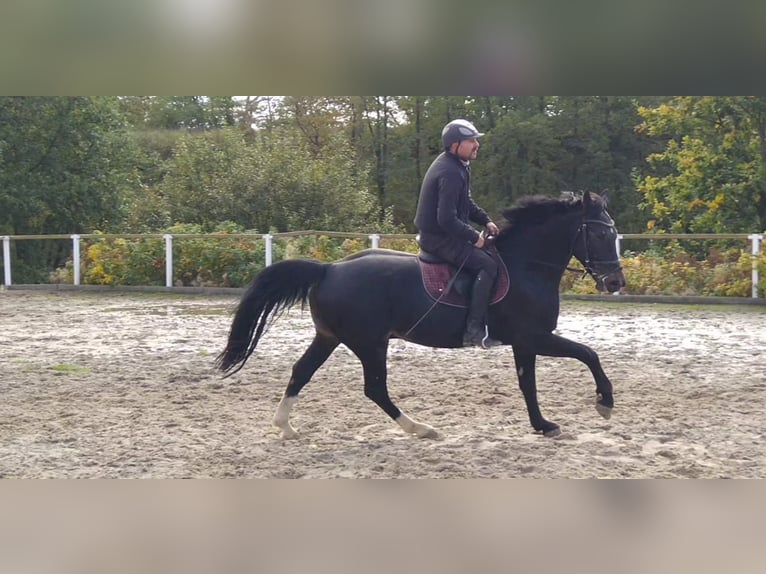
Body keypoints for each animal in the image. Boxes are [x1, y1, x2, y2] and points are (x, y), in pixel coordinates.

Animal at [218, 194, 632, 440]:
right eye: (601, 234)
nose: (615, 282)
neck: (526, 265)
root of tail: (328, 269)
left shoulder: (525, 343)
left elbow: (530, 383)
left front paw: (542, 424)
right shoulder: (534, 337)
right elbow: (588, 354)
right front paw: (602, 404)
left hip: (330, 338)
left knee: (301, 372)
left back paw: (285, 426)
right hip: (370, 343)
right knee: (375, 389)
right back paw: (420, 428)